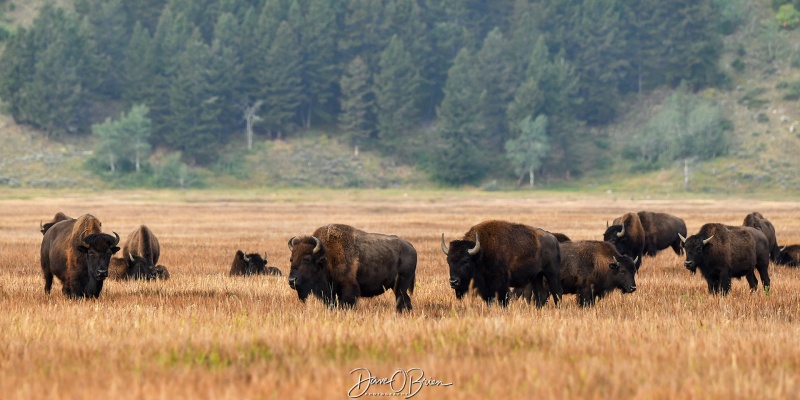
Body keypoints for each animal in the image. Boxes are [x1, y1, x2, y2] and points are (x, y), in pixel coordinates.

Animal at [286, 222, 416, 312]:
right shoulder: (331, 294)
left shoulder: (348, 290)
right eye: (291, 259)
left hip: (401, 286)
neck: (327, 256)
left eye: (307, 260)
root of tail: (411, 247)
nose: (292, 281)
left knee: (402, 300)